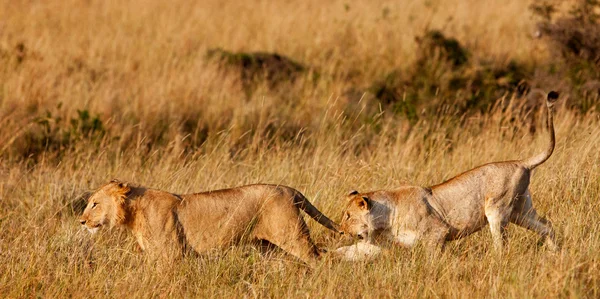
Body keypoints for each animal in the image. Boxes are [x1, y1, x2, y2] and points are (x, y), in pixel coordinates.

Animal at [79, 182, 340, 266]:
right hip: (266, 246)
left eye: (94, 204)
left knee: (318, 258)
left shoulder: (172, 255)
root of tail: (288, 189)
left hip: (292, 236)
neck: (133, 214)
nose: (81, 221)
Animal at [340, 91, 560, 255]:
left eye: (349, 216)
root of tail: (521, 162)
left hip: (497, 210)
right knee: (547, 226)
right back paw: (555, 254)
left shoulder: (437, 232)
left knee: (502, 245)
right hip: (521, 211)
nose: (341, 232)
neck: (385, 220)